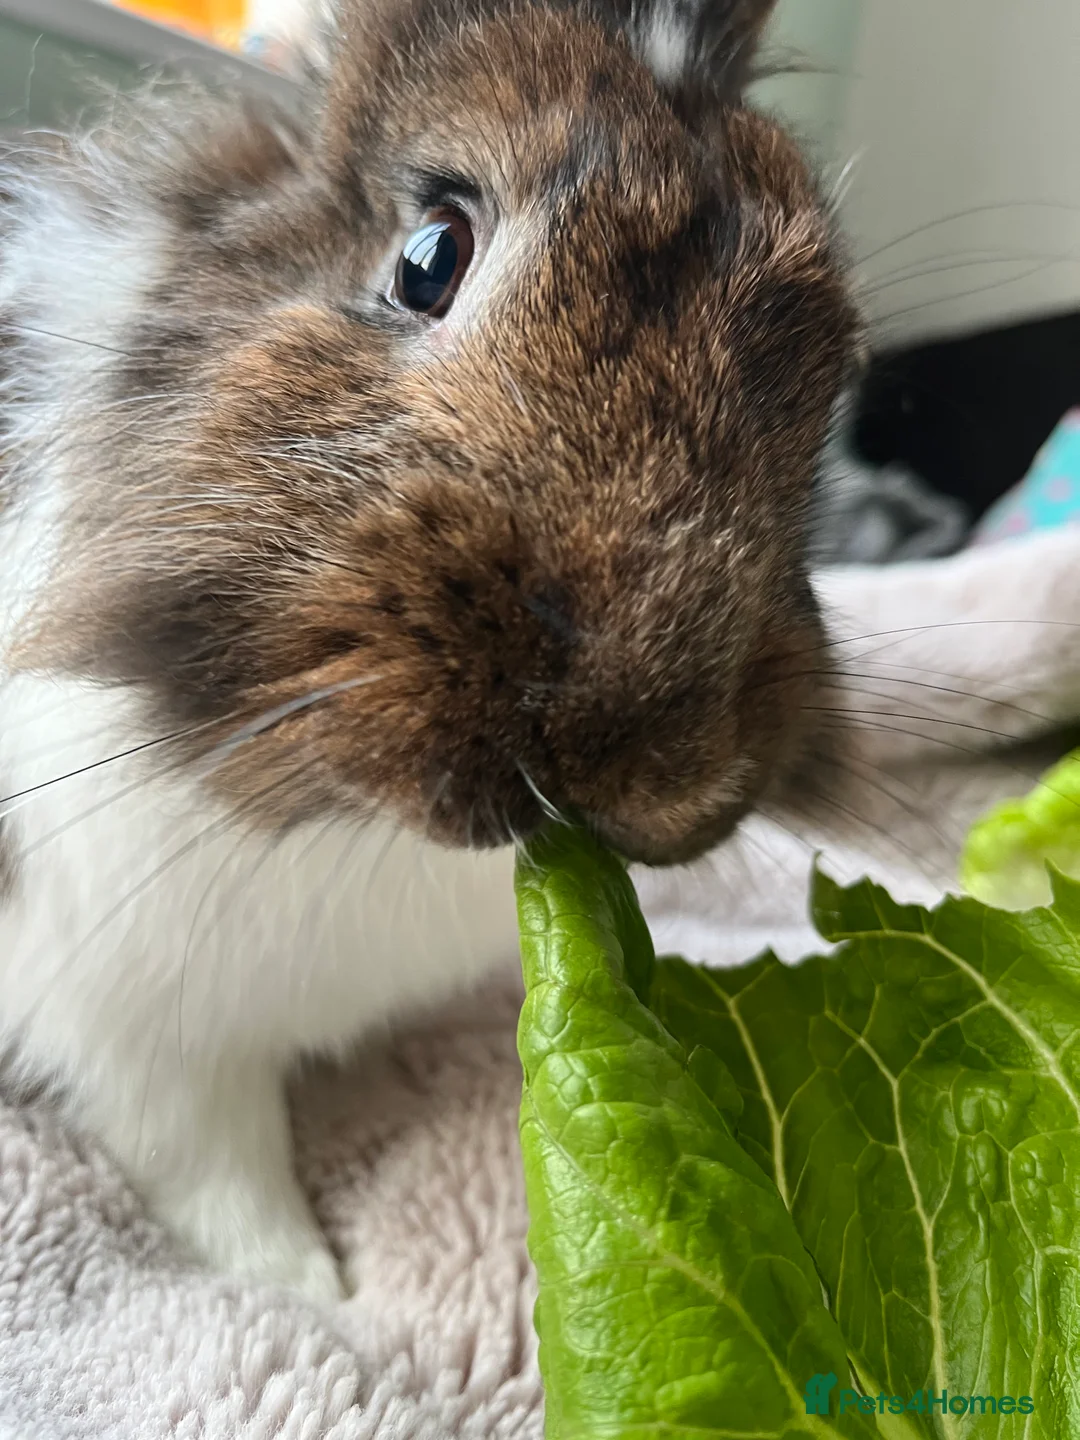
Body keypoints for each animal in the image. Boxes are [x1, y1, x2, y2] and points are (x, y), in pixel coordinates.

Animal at [0, 0, 856, 1302]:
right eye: (430, 259)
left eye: (832, 368)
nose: (656, 767)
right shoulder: (131, 1028)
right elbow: (218, 1176)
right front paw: (317, 1299)